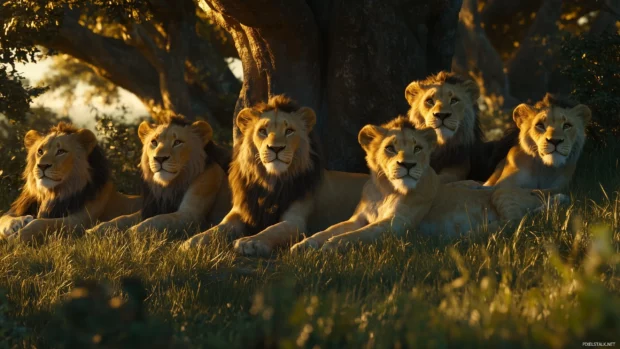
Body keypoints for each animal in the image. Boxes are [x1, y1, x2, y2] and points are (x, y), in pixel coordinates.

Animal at [0, 121, 140, 241]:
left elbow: (41, 222)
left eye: (61, 151)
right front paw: (18, 223)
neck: (53, 194)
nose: (42, 166)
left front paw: (16, 237)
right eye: (40, 151)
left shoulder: (79, 221)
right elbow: (3, 217)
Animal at [86, 115, 231, 235]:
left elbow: (160, 219)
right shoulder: (150, 208)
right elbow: (122, 218)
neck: (170, 186)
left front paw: (133, 230)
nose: (160, 158)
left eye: (177, 142)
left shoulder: (191, 215)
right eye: (154, 142)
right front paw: (95, 230)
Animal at [182, 95, 370, 256]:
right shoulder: (239, 213)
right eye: (262, 131)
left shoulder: (295, 221)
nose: (276, 148)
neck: (270, 182)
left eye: (289, 131)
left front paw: (251, 242)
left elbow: (273, 230)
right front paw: (194, 241)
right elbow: (217, 229)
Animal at [290, 116, 560, 250]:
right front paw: (304, 245)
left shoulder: (397, 224)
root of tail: (541, 193)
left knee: (515, 223)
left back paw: (474, 233)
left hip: (500, 193)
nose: (407, 165)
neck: (385, 190)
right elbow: (331, 228)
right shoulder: (358, 218)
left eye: (418, 148)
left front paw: (331, 246)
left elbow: (358, 235)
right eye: (390, 148)